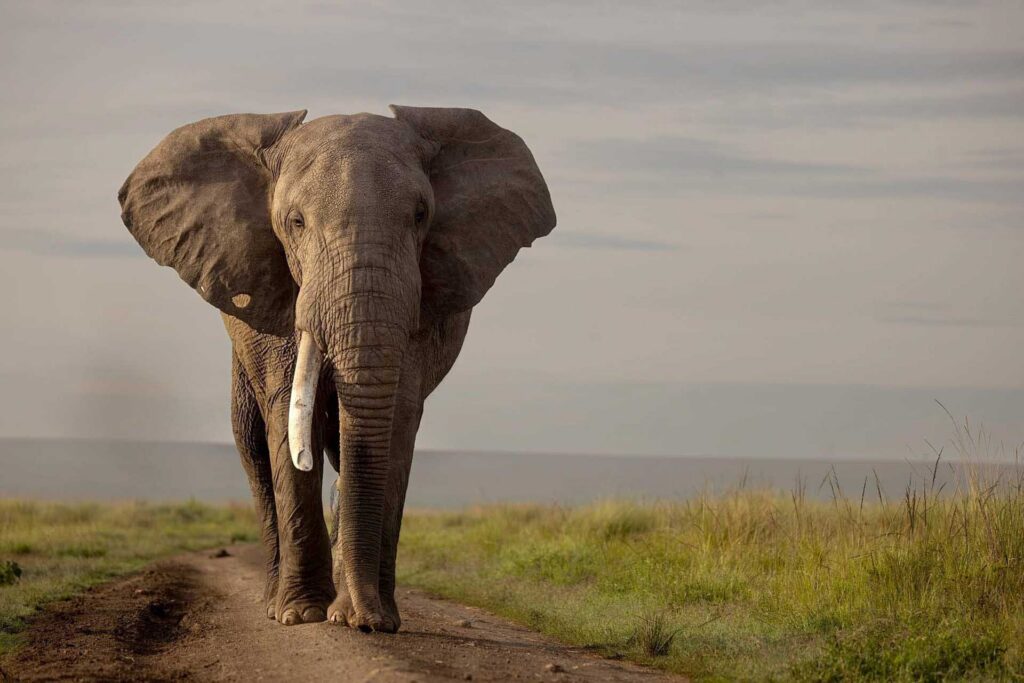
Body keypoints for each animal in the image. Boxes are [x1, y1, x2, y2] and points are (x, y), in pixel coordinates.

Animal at [118, 106, 556, 632]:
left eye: (421, 216)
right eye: (295, 222)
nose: (365, 620)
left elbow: (395, 423)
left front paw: (370, 619)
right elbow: (287, 415)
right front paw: (301, 615)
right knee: (254, 444)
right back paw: (273, 602)